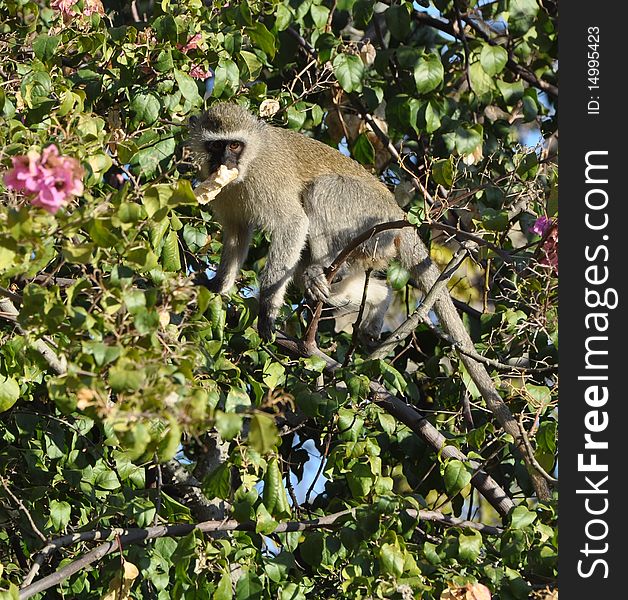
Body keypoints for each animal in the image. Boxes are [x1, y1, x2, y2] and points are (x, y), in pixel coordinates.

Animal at [186, 104, 452, 342]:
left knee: (321, 190)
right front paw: (218, 286)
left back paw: (323, 269)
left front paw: (267, 309)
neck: (248, 165)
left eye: (234, 145)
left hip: (373, 221)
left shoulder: (267, 179)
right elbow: (237, 233)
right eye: (216, 145)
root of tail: (399, 217)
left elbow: (292, 223)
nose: (225, 161)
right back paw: (377, 298)